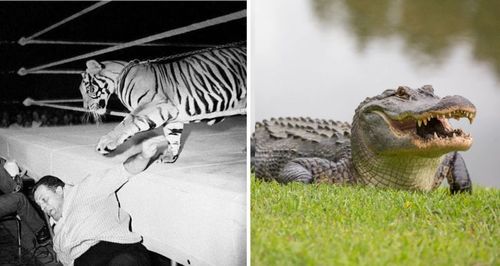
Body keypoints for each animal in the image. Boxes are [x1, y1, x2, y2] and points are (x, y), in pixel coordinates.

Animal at [78, 45, 248, 162]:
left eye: (88, 89)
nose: (85, 107)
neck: (119, 77)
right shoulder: (172, 114)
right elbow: (172, 135)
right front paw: (170, 156)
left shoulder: (153, 104)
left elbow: (127, 122)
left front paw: (106, 142)